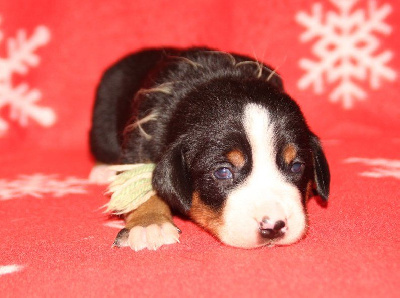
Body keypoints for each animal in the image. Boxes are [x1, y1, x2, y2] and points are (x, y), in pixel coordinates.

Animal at [90, 47, 332, 251]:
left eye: (297, 166)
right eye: (223, 172)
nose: (273, 226)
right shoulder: (139, 142)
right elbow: (140, 186)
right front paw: (150, 224)